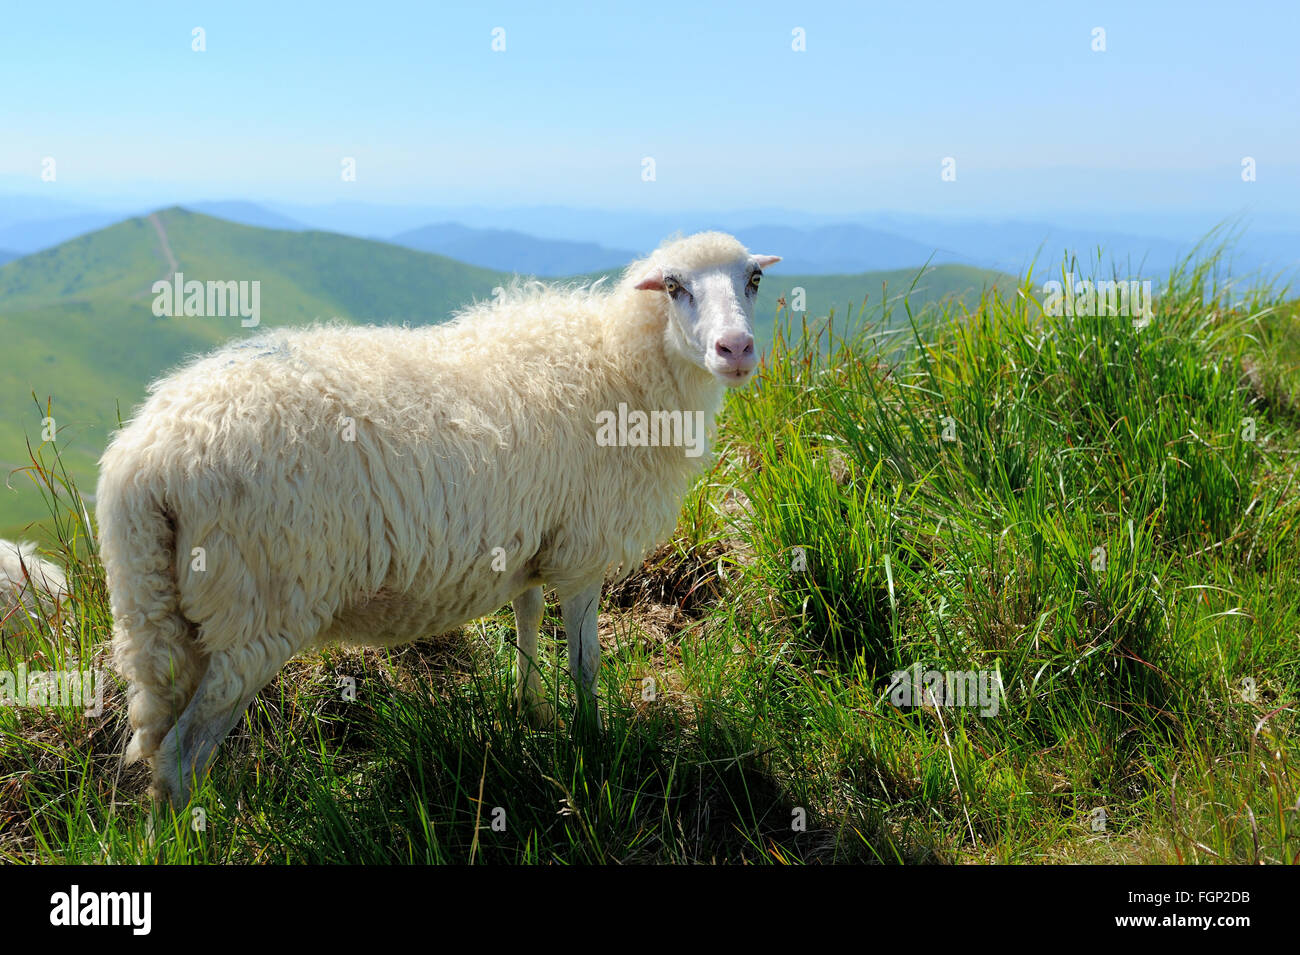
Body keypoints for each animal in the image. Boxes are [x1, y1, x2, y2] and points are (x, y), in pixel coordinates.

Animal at [96, 230, 780, 805]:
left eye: (753, 280)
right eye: (674, 287)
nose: (737, 349)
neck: (620, 364)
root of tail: (144, 462)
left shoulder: (533, 543)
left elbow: (528, 620)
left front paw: (531, 710)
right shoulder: (583, 555)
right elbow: (585, 664)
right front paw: (593, 744)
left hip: (164, 611)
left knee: (160, 739)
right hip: (255, 610)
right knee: (181, 757)